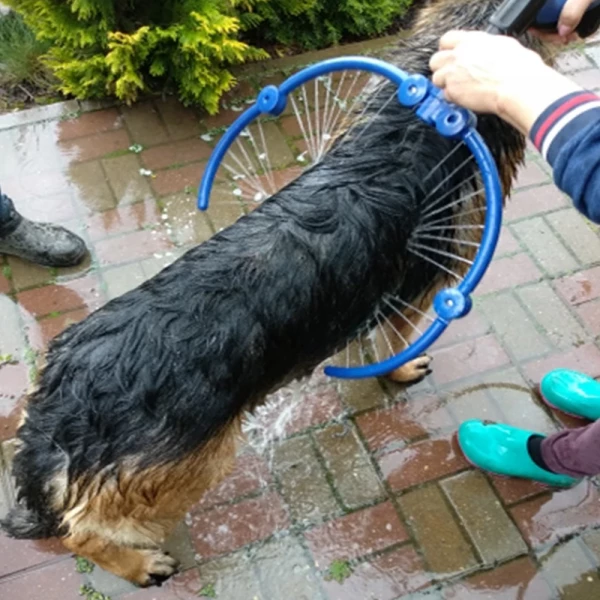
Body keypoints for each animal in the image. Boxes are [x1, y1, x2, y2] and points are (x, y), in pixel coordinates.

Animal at [0, 0, 556, 584]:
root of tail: (64, 391)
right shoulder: (422, 281)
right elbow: (392, 340)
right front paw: (400, 369)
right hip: (183, 464)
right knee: (82, 530)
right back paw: (139, 563)